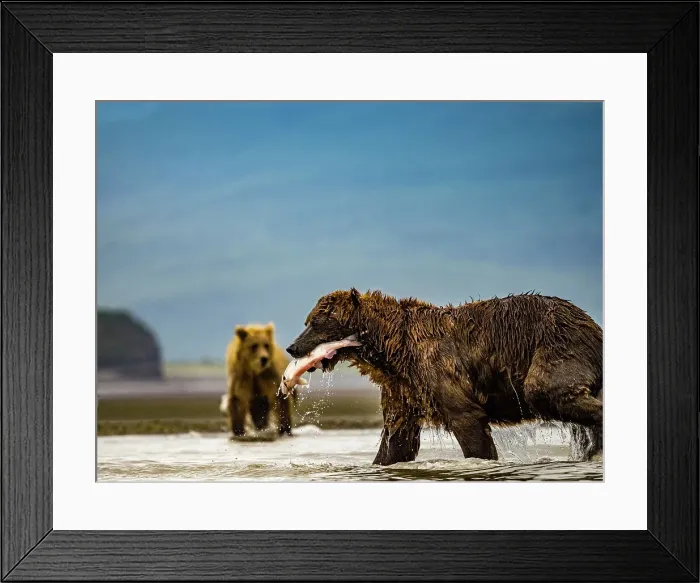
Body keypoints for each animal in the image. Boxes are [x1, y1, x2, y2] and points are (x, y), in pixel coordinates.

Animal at [285, 288, 603, 466]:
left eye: (318, 322)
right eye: (308, 321)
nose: (292, 347)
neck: (392, 349)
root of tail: (592, 324)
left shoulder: (436, 368)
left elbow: (468, 421)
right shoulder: (404, 388)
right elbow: (396, 440)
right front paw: (378, 462)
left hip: (556, 344)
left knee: (545, 390)